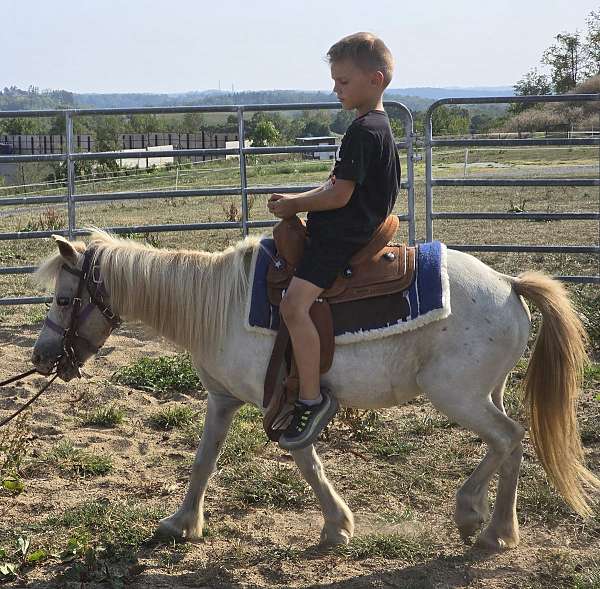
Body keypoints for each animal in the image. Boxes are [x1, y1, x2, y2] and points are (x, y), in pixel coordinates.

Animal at [30, 231, 596, 552]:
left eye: (63, 299)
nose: (40, 357)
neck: (218, 305)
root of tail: (509, 283)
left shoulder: (283, 402)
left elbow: (306, 462)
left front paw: (336, 526)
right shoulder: (223, 399)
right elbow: (204, 460)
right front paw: (182, 522)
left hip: (456, 395)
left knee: (508, 439)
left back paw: (484, 522)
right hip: (484, 393)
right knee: (507, 444)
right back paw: (489, 522)